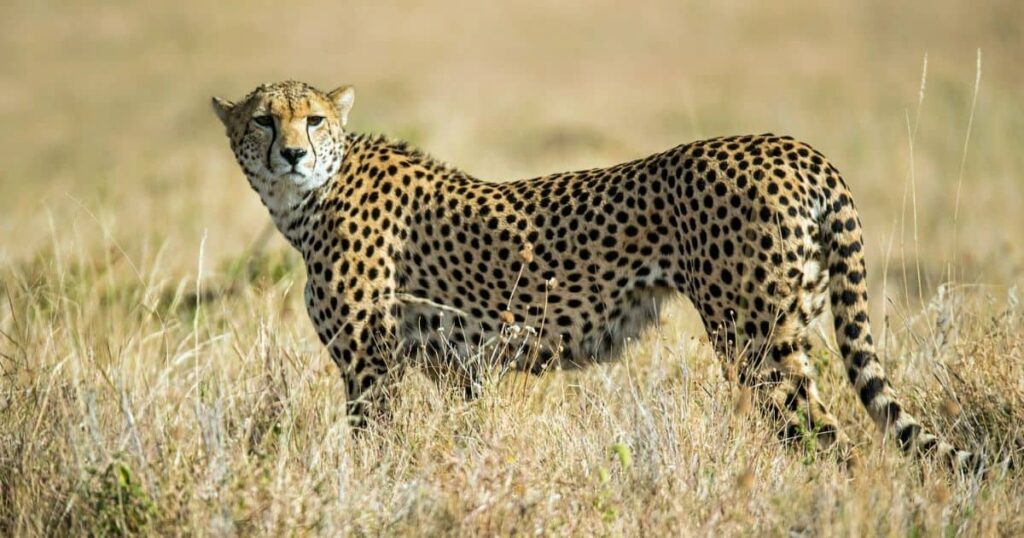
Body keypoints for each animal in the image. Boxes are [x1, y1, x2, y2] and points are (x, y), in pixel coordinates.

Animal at [212, 80, 979, 471]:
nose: (291, 153)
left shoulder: (370, 366)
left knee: (829, 439)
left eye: (313, 119)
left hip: (756, 340)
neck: (308, 199)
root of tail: (792, 145)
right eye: (263, 120)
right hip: (793, 319)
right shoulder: (457, 368)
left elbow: (372, 447)